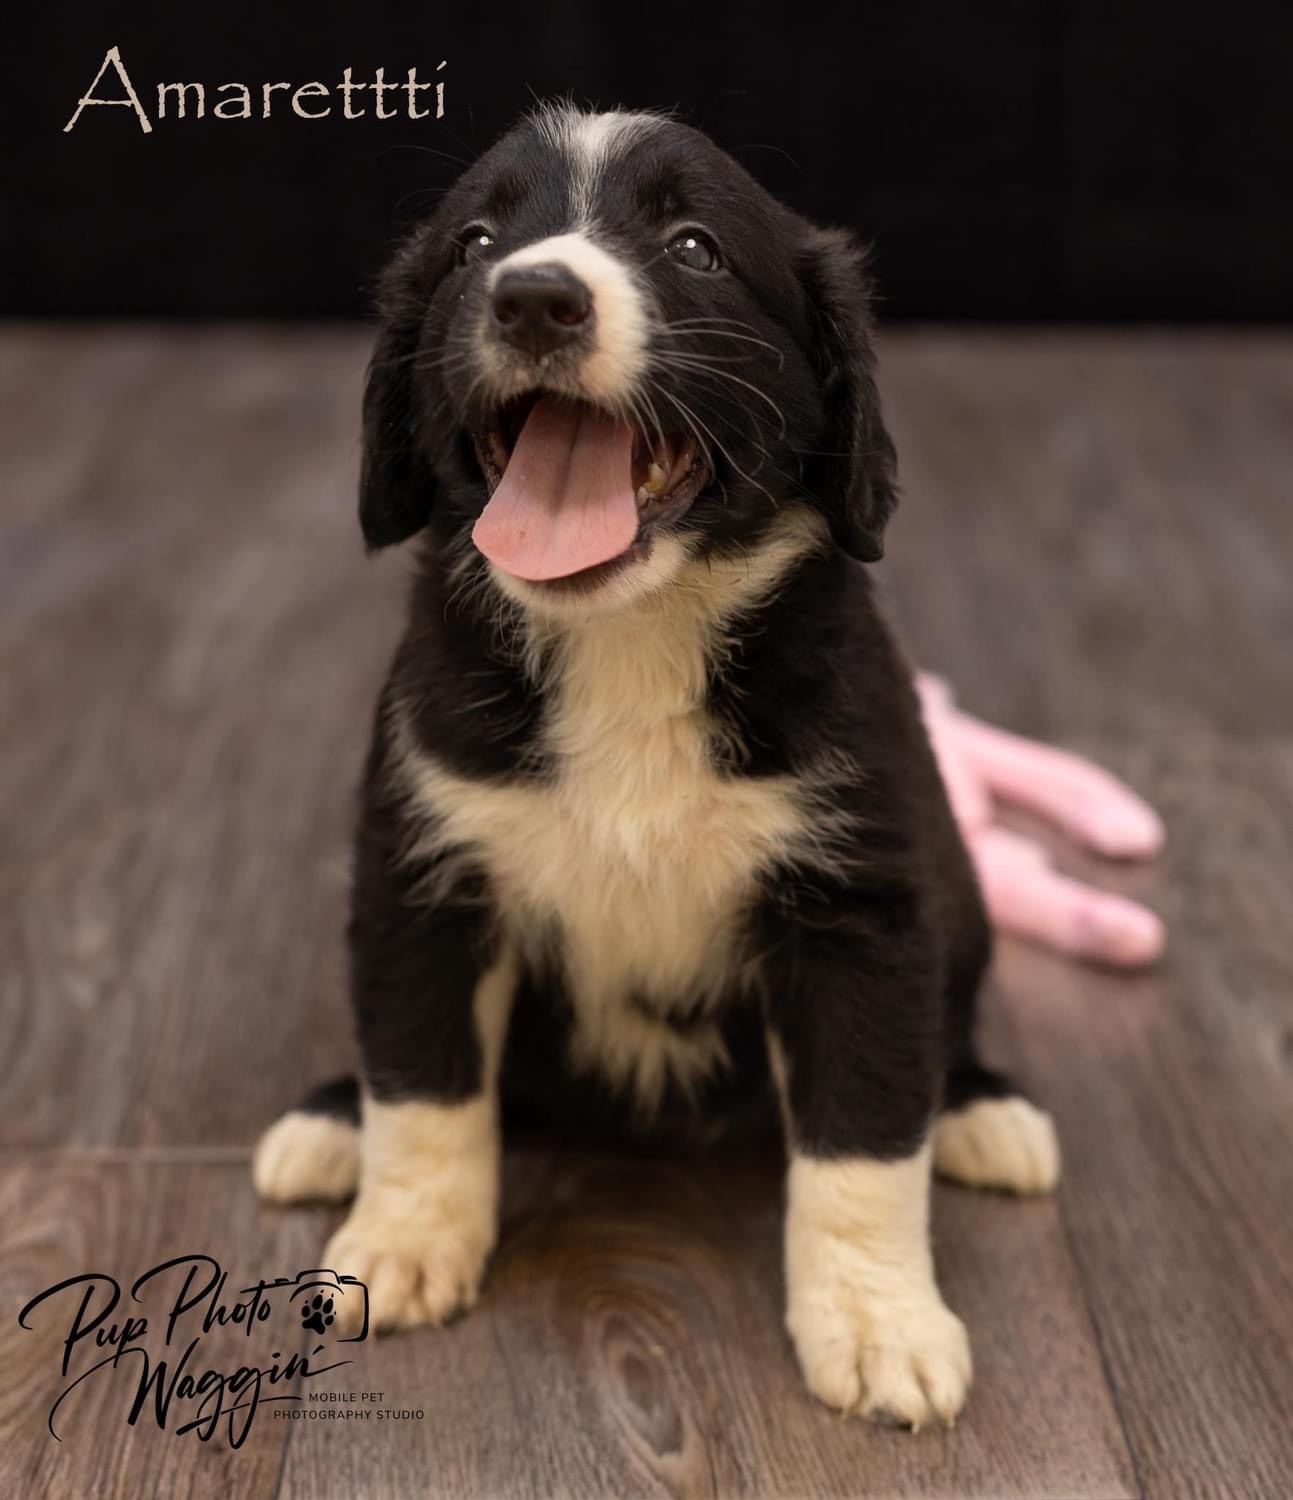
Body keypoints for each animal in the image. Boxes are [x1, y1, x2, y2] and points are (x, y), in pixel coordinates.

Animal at [255, 108, 1062, 1428]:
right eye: (477, 241)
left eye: (693, 246)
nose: (534, 298)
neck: (628, 640)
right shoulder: (424, 872)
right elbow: (424, 1082)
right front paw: (405, 1238)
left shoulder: (857, 906)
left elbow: (863, 1137)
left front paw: (878, 1321)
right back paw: (329, 1122)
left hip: (961, 891)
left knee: (946, 1030)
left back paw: (984, 1108)